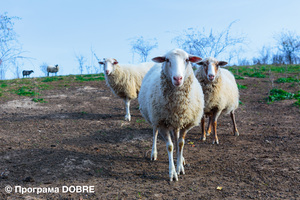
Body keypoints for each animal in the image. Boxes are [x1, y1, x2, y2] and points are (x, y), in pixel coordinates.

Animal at [138, 48, 204, 181]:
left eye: (187, 59)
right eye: (167, 60)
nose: (177, 78)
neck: (177, 105)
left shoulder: (185, 124)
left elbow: (180, 143)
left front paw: (180, 167)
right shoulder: (162, 123)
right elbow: (170, 146)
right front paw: (173, 173)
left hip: (176, 122)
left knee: (176, 137)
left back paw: (181, 158)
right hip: (154, 118)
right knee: (155, 133)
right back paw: (153, 153)